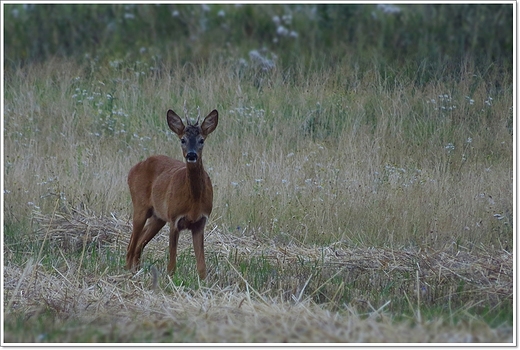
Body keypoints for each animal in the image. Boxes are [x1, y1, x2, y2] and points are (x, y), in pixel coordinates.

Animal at [126, 108, 219, 278]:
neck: (193, 201)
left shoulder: (200, 222)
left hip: (158, 217)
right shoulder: (174, 219)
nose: (191, 155)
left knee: (139, 243)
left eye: (201, 140)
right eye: (183, 140)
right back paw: (129, 271)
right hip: (140, 206)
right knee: (132, 244)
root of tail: (133, 168)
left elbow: (202, 266)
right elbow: (171, 265)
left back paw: (137, 269)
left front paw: (203, 281)